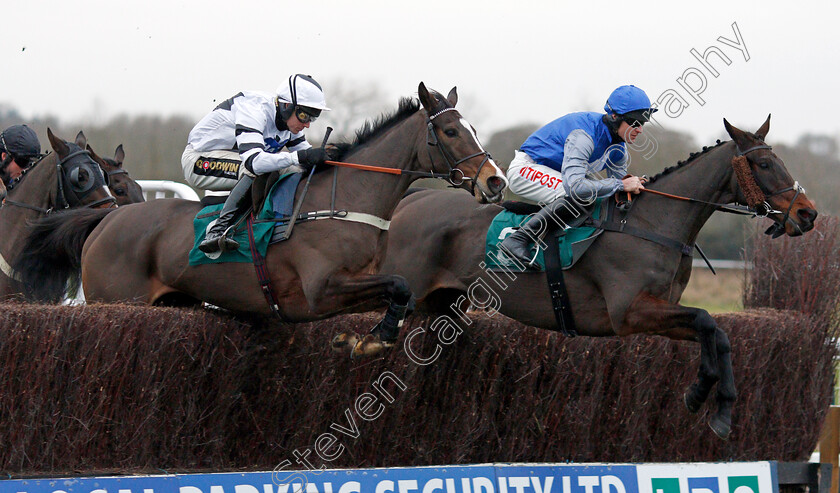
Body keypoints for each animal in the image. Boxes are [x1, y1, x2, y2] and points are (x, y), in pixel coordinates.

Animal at [16, 83, 508, 354]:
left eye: (473, 129)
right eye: (450, 131)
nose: (495, 180)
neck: (344, 201)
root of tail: (105, 221)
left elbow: (402, 294)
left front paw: (370, 336)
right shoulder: (318, 293)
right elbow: (400, 287)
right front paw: (367, 341)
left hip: (173, 301)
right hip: (114, 299)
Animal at [378, 116, 812, 438]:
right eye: (765, 164)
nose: (807, 213)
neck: (650, 223)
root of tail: (412, 198)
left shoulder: (661, 313)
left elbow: (716, 333)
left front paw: (717, 408)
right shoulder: (630, 313)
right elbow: (706, 319)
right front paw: (700, 392)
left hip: (439, 305)